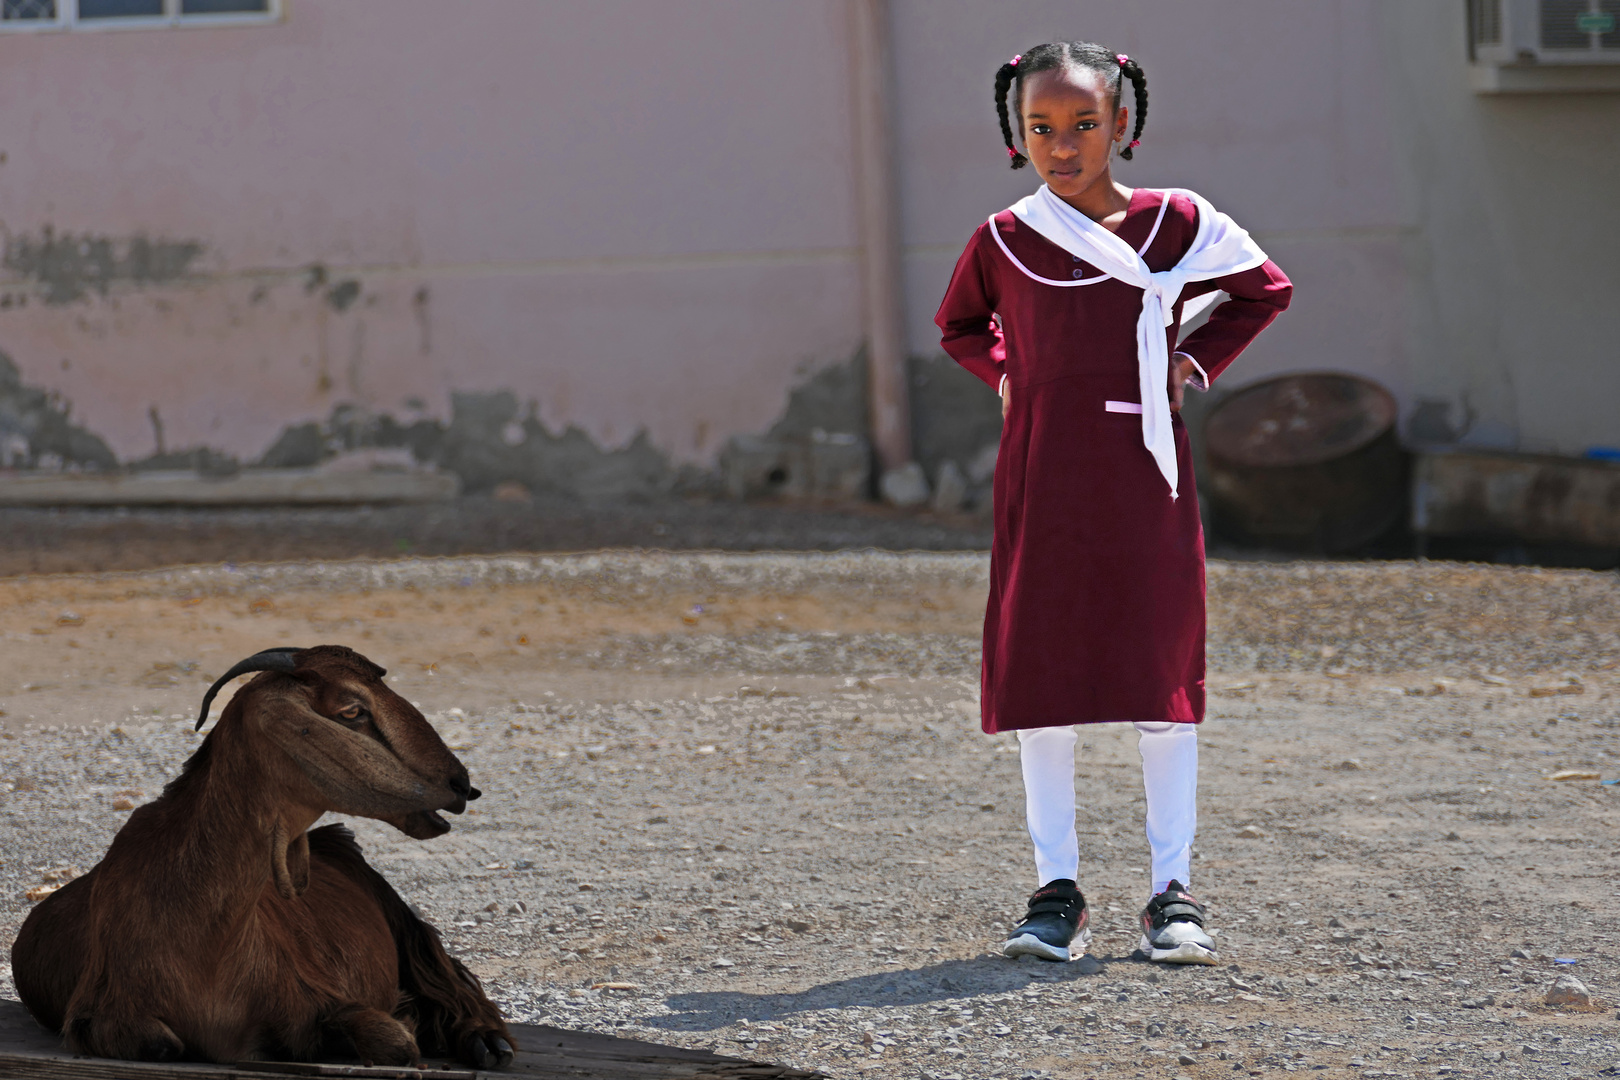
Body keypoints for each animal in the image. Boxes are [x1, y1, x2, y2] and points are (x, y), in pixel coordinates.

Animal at [9, 647, 515, 1068]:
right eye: (352, 711)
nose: (461, 785)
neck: (207, 946)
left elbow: (393, 1042)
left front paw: (405, 1020)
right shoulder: (99, 1013)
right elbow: (159, 1043)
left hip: (401, 921)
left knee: (448, 979)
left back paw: (487, 1043)